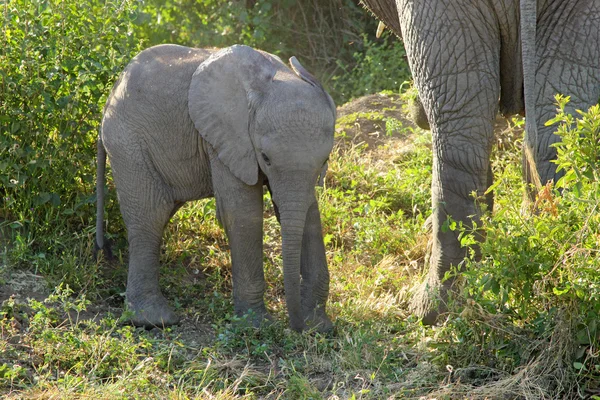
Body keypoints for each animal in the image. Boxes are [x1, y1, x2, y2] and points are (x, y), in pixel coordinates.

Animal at [96, 43, 336, 332]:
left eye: (324, 160)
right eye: (265, 157)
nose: (295, 326)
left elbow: (310, 213)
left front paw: (319, 326)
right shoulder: (226, 138)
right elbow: (243, 213)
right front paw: (256, 326)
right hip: (127, 143)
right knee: (149, 217)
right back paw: (154, 321)